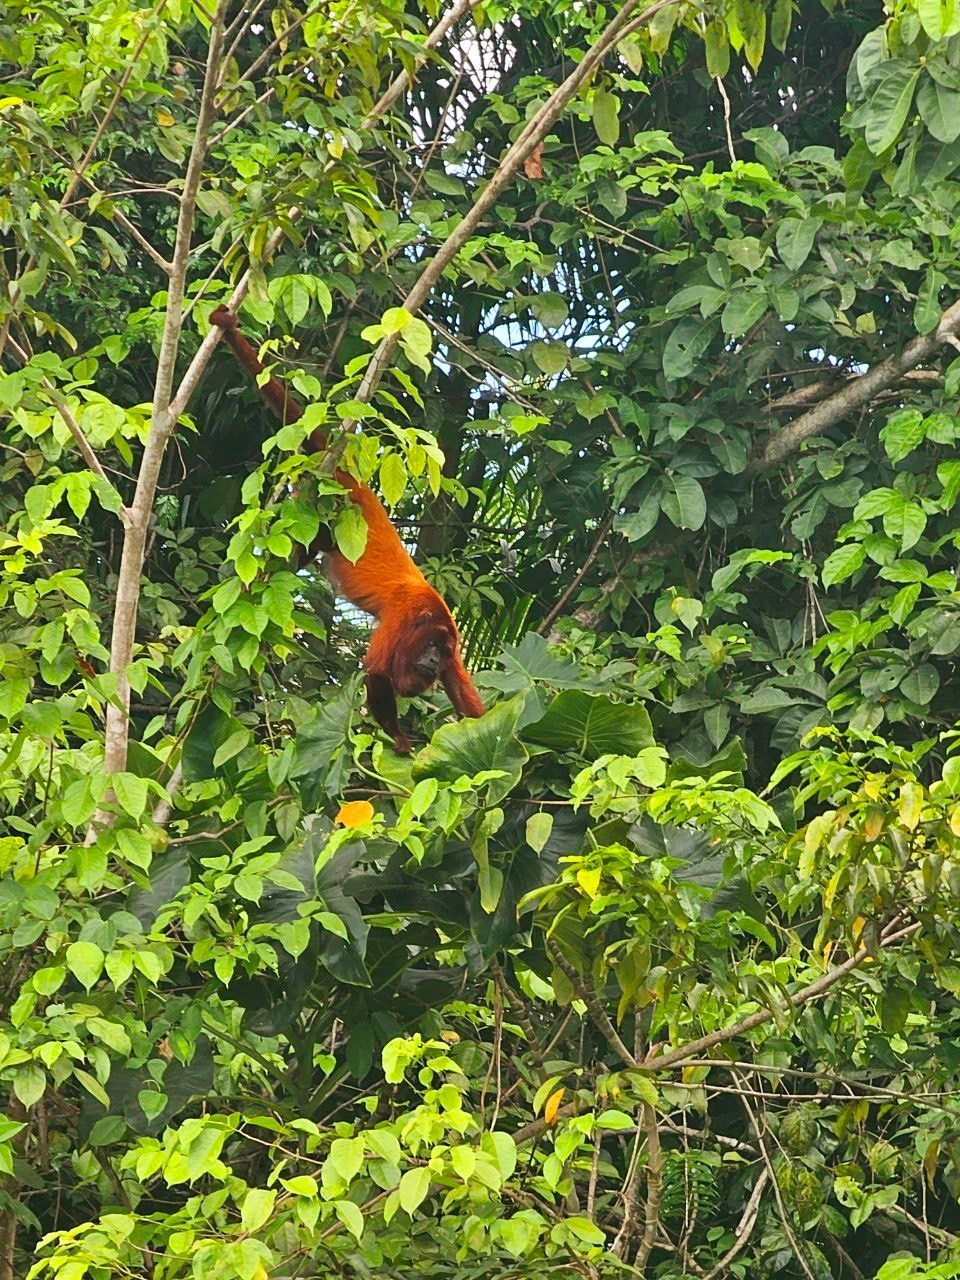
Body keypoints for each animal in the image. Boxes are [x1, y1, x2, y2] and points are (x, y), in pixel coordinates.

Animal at [209, 306, 485, 754]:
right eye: (431, 647)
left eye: (443, 653)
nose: (432, 662)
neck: (429, 618)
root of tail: (351, 484)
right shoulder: (404, 621)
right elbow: (377, 671)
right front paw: (401, 742)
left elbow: (462, 690)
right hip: (321, 515)